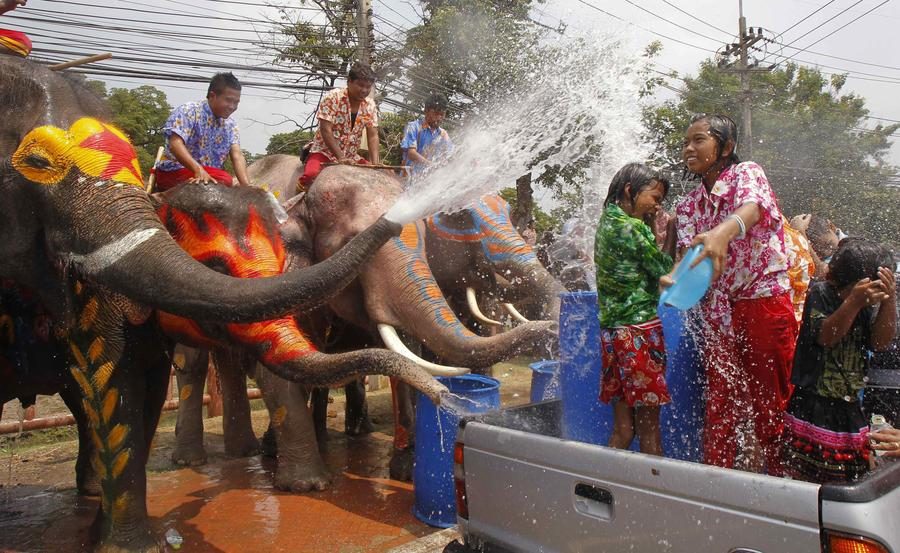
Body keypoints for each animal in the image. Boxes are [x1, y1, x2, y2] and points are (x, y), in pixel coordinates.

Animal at [0, 57, 446, 552]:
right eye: (350, 239)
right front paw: (309, 485)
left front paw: (396, 467)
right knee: (194, 363)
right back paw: (198, 458)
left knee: (233, 361)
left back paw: (250, 450)